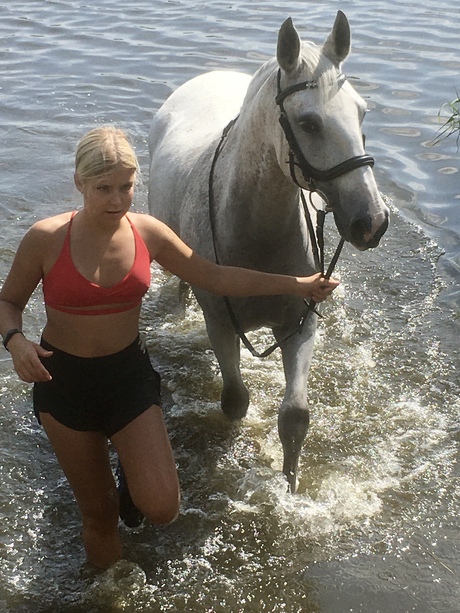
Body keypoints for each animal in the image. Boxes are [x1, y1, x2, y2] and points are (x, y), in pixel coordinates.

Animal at [150, 11, 388, 492]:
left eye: (361, 111)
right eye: (309, 122)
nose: (372, 221)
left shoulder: (300, 326)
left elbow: (294, 417)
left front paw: (290, 487)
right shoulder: (221, 325)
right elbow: (235, 400)